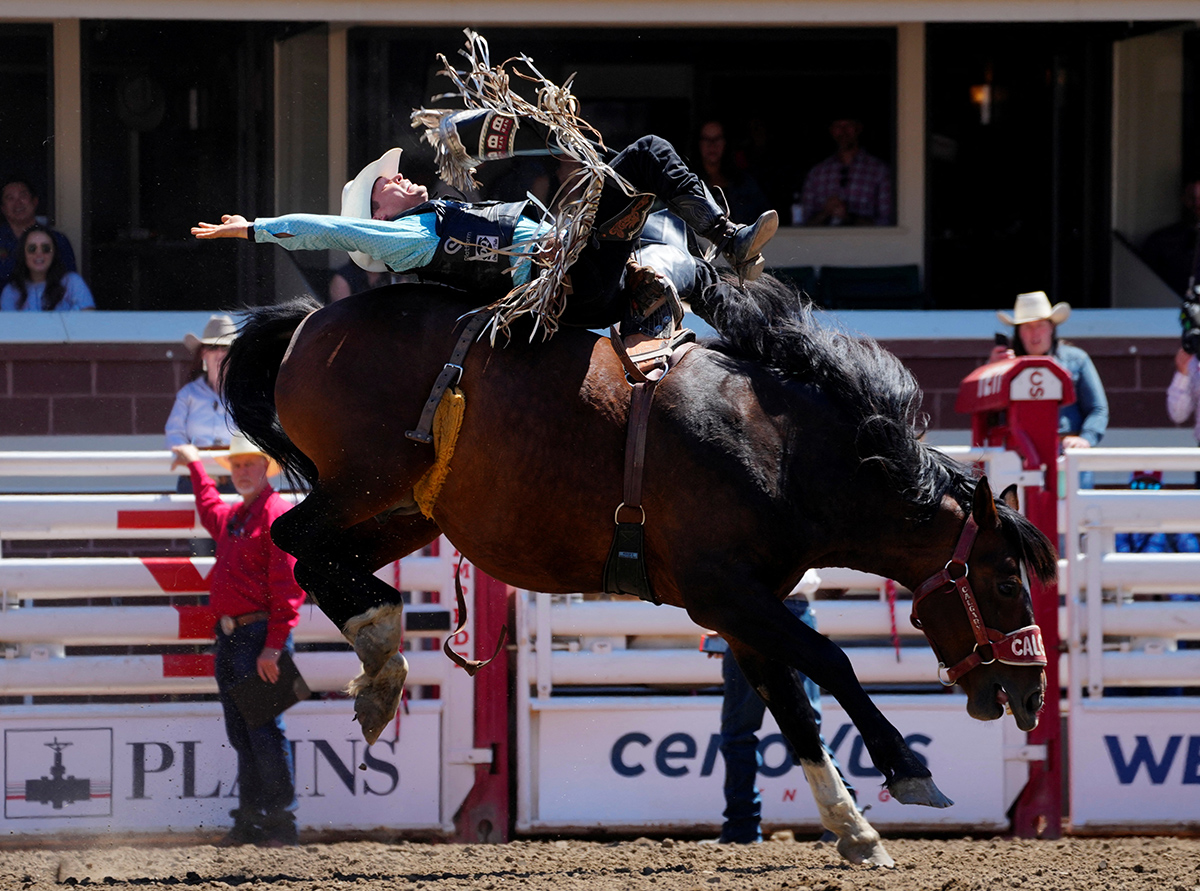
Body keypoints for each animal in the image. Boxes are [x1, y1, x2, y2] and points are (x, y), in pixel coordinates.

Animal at [223, 278, 1051, 864]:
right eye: (1006, 581)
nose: (1032, 693)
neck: (783, 452)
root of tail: (312, 324)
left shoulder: (740, 614)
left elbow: (793, 709)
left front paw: (855, 830)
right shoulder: (726, 592)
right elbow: (831, 662)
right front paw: (910, 768)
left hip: (408, 510)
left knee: (328, 559)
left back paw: (378, 663)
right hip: (362, 482)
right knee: (294, 538)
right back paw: (381, 647)